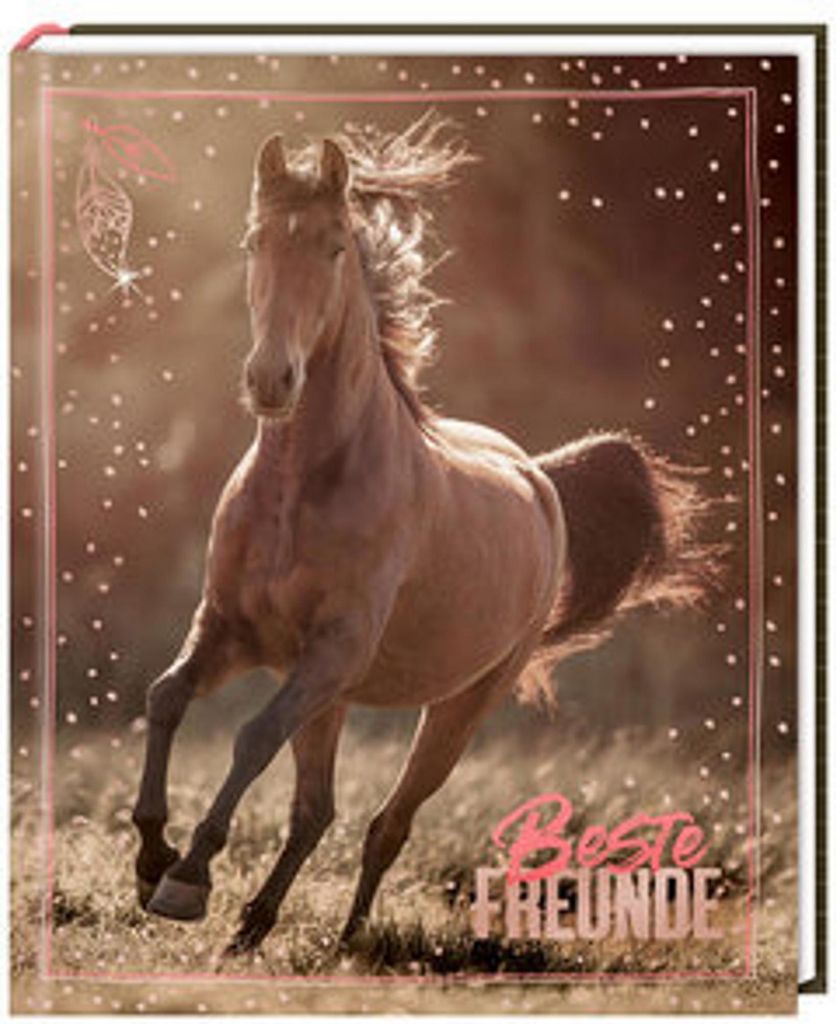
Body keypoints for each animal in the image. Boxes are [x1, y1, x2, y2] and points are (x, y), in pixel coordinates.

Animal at [131, 114, 713, 956]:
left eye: (335, 246)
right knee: (317, 812)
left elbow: (251, 737)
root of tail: (537, 476)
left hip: (458, 703)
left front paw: (187, 878)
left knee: (388, 823)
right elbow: (167, 697)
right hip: (333, 695)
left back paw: (346, 939)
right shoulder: (232, 630)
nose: (271, 381)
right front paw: (152, 858)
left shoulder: (332, 651)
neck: (302, 489)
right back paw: (253, 927)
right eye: (253, 241)